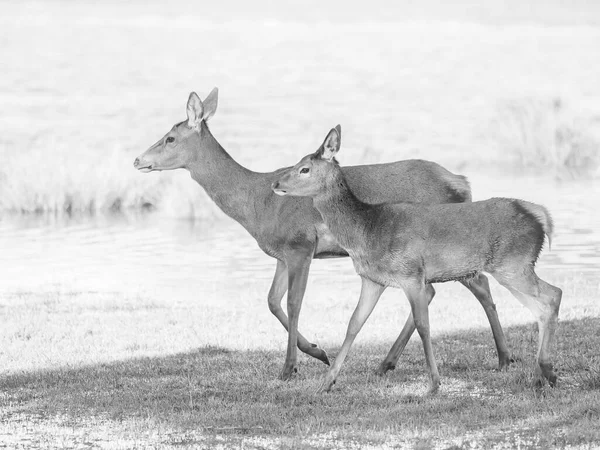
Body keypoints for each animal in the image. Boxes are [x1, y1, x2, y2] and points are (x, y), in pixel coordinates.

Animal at [135, 89, 510, 382]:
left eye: (170, 137)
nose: (138, 159)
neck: (256, 202)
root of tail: (462, 183)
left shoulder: (301, 244)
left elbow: (293, 302)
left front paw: (290, 367)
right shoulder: (282, 252)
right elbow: (271, 300)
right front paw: (317, 352)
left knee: (478, 285)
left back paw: (504, 357)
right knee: (438, 291)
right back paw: (387, 363)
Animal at [272, 125, 564, 394]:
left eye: (304, 168)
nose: (275, 184)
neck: (366, 230)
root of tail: (542, 216)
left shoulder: (411, 274)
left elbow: (423, 325)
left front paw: (434, 384)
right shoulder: (372, 280)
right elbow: (354, 324)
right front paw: (326, 381)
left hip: (514, 264)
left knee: (553, 294)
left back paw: (546, 371)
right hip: (514, 267)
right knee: (541, 307)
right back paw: (541, 375)